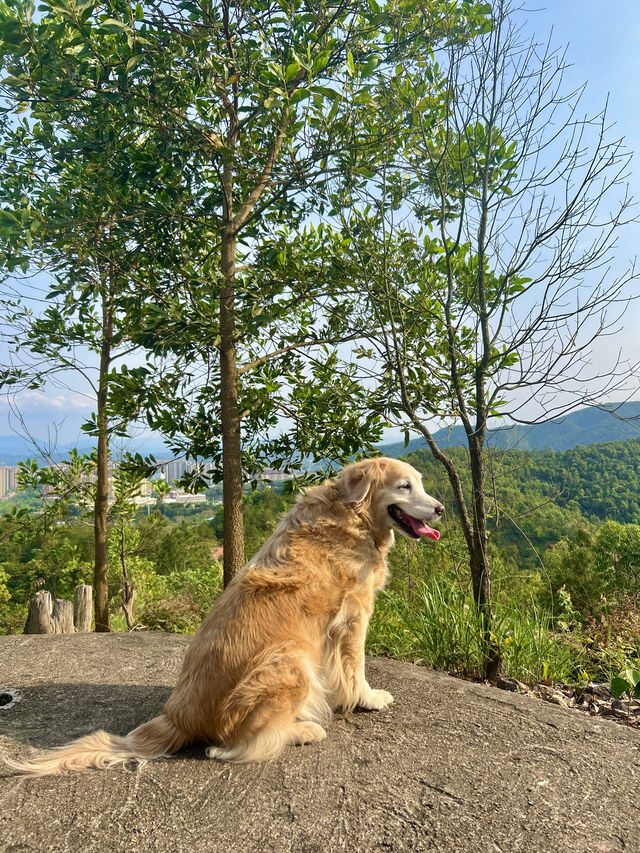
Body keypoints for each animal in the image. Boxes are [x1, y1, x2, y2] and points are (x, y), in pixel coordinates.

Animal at [5, 456, 442, 776]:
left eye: (420, 484)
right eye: (405, 486)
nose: (439, 508)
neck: (352, 517)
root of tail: (178, 718)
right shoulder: (353, 618)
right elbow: (355, 669)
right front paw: (369, 699)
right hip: (291, 660)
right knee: (229, 747)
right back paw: (303, 729)